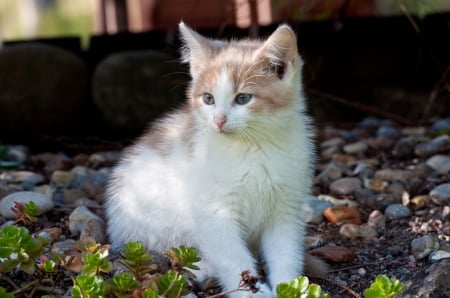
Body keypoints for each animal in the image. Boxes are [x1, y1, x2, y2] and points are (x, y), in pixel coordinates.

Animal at [104, 22, 320, 296]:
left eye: (243, 98)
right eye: (208, 98)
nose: (219, 120)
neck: (254, 146)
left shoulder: (285, 207)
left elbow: (286, 252)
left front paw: (288, 286)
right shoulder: (213, 211)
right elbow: (231, 257)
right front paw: (251, 291)